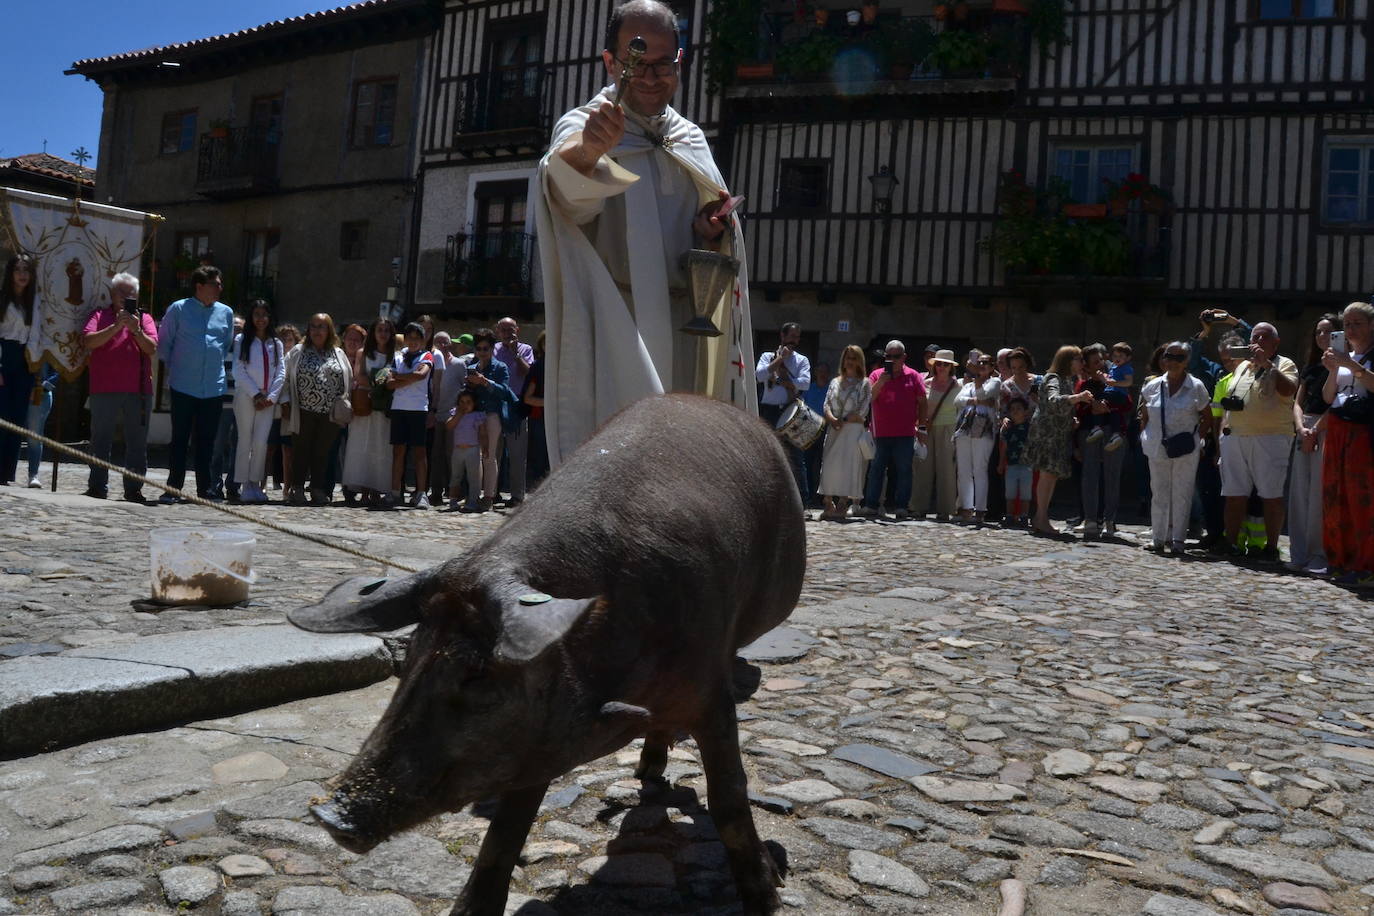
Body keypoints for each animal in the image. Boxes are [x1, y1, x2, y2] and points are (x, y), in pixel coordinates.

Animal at [289, 398, 802, 916]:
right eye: (410, 652)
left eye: (477, 673)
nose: (329, 815)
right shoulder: (535, 738)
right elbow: (506, 830)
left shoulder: (710, 687)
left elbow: (729, 793)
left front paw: (768, 898)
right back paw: (646, 772)